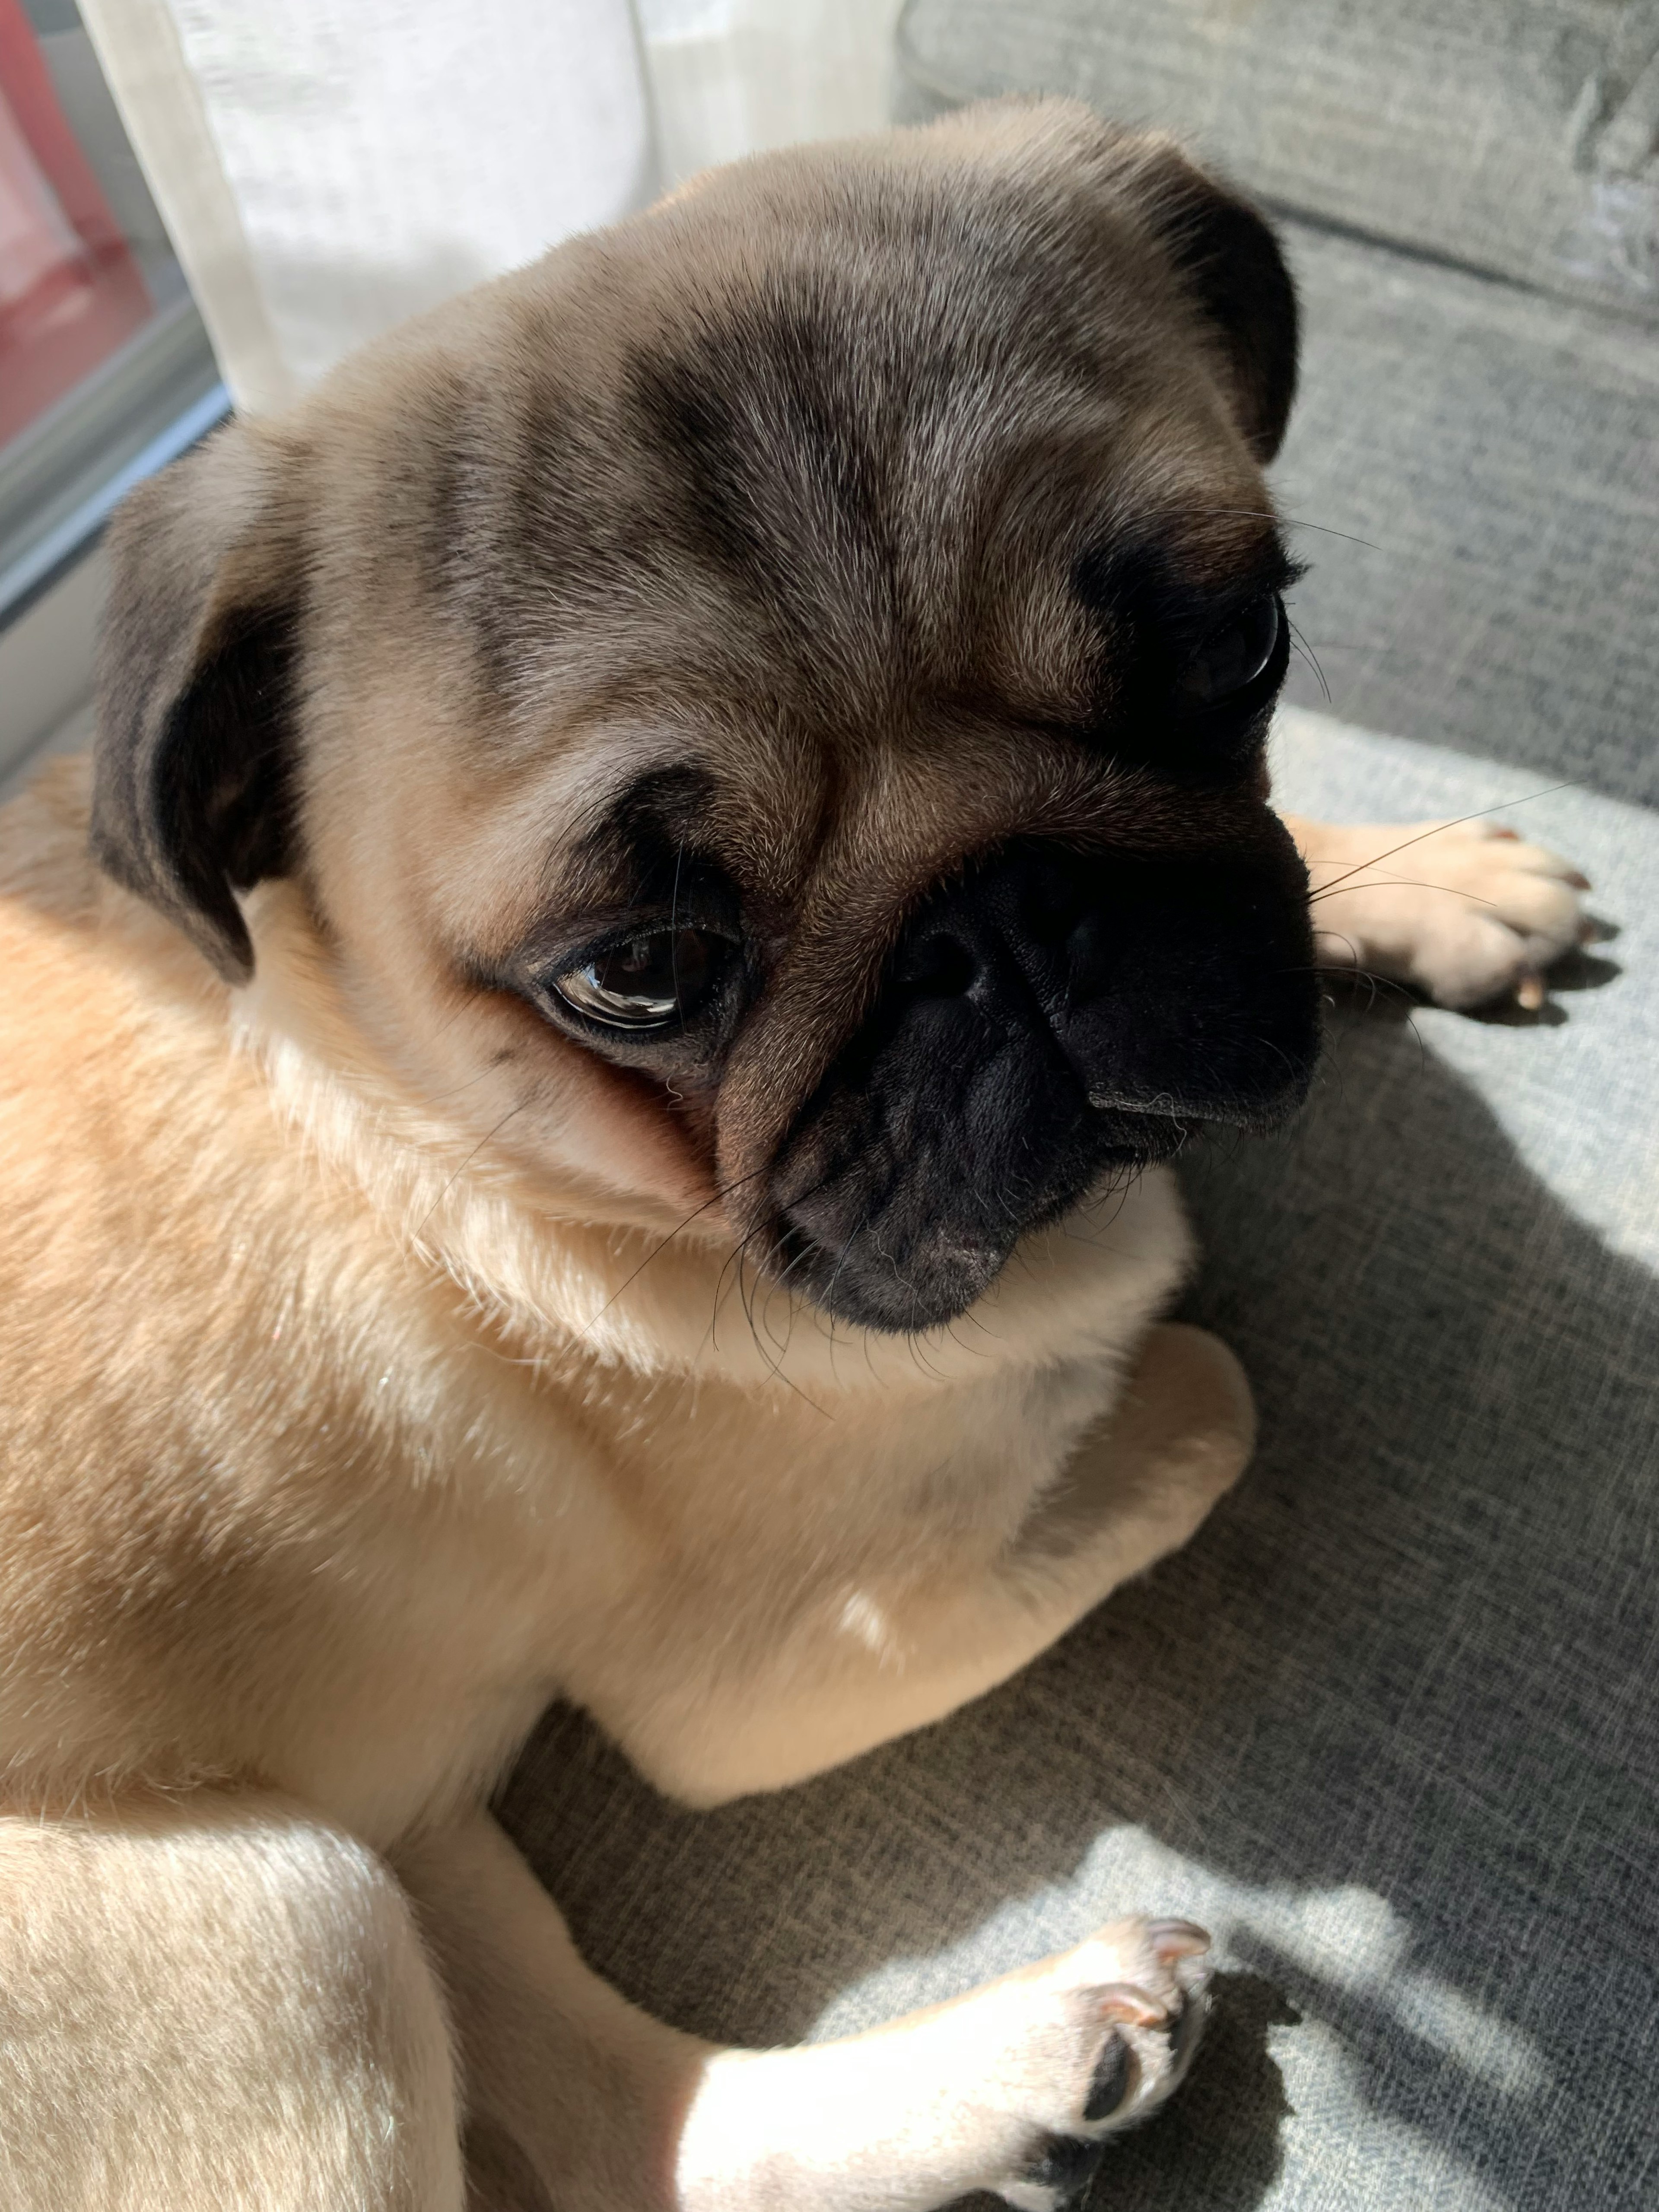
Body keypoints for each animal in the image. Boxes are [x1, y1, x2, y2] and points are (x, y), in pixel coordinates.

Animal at [0, 95, 1601, 2203]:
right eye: (639, 970)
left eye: (1241, 643)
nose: (1005, 921)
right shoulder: (774, 1673)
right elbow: (1206, 1385)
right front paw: (1145, 1348)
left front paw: (1415, 886)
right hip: (273, 1922)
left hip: (370, 1868)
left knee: (632, 2125)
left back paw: (1023, 2062)